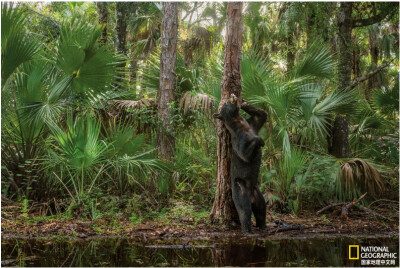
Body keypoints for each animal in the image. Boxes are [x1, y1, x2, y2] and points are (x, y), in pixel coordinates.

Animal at [214, 94, 268, 232]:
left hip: (257, 193)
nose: (231, 96)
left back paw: (263, 226)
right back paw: (247, 230)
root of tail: (251, 196)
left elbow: (261, 115)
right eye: (225, 104)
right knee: (244, 210)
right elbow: (245, 154)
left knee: (261, 209)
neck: (239, 123)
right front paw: (260, 140)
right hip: (239, 187)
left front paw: (243, 102)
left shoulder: (252, 124)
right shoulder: (238, 140)